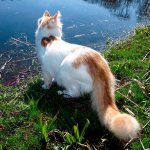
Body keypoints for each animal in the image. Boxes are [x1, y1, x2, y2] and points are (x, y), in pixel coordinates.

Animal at [35, 10, 141, 141]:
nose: (38, 21)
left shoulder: (45, 69)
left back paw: (63, 93)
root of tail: (99, 66)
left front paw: (45, 86)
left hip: (64, 71)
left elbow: (47, 80)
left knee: (75, 93)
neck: (49, 38)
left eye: (40, 20)